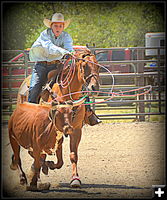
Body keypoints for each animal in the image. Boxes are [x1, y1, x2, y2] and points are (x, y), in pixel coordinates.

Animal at [16, 49, 100, 188]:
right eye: (84, 66)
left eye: (98, 66)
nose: (95, 87)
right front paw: (44, 167)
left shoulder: (76, 130)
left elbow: (72, 155)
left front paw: (75, 179)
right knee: (35, 152)